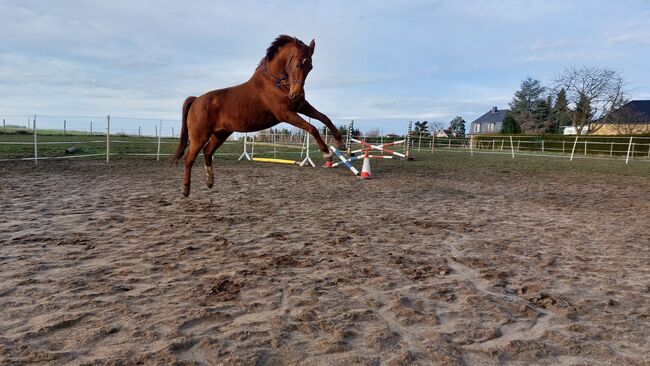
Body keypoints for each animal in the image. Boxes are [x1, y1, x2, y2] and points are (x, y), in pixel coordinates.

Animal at [171, 34, 344, 197]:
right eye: (297, 64)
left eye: (311, 67)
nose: (296, 94)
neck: (276, 82)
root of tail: (196, 100)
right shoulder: (285, 113)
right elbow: (312, 128)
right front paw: (327, 154)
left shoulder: (301, 106)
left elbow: (324, 118)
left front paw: (340, 143)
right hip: (199, 137)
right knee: (189, 158)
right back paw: (186, 189)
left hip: (221, 134)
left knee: (207, 152)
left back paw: (210, 182)